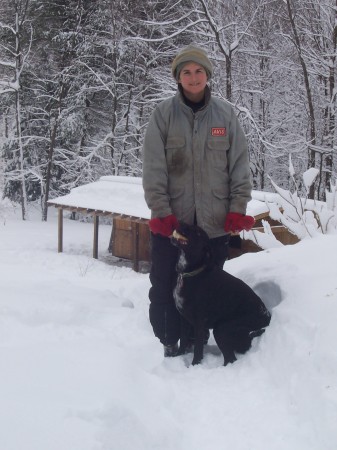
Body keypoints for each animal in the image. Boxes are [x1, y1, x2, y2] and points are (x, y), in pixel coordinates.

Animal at [171, 221, 270, 366]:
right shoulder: (183, 318)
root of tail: (267, 316)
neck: (191, 273)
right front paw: (178, 357)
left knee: (230, 359)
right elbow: (183, 340)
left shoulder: (199, 322)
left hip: (222, 329)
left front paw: (195, 365)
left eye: (198, 232)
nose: (181, 223)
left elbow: (198, 349)